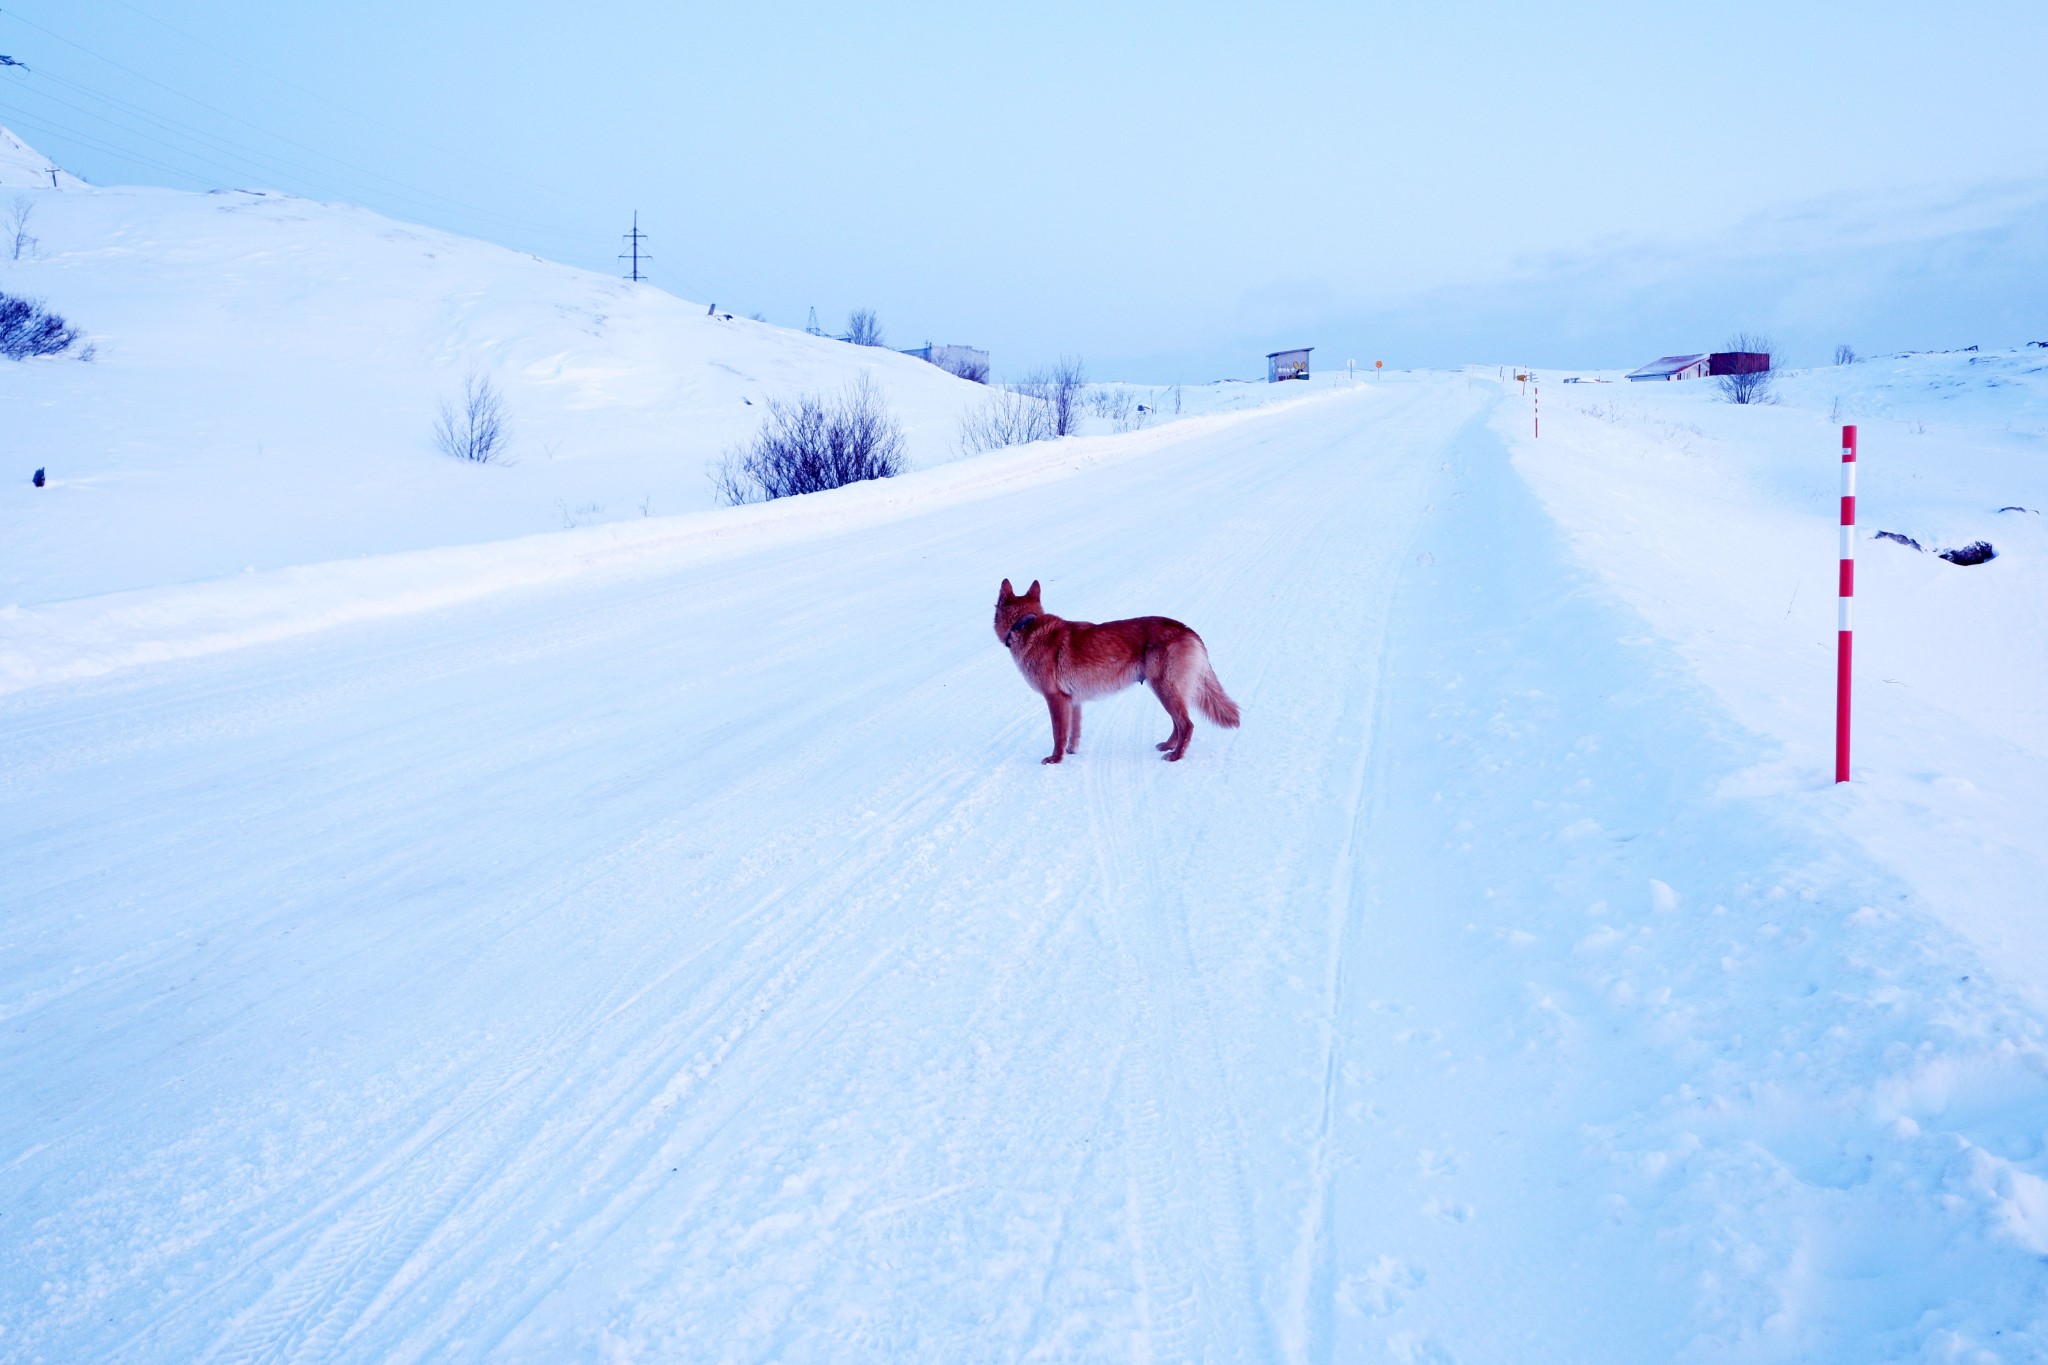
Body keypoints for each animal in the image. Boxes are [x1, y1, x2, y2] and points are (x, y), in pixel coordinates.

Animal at [987, 581, 1228, 765]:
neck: (1026, 625)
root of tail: (1188, 630)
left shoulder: (1055, 699)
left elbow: (1058, 734)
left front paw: (1055, 759)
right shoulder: (1073, 701)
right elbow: (1073, 733)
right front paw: (1071, 752)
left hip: (1164, 688)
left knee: (1186, 725)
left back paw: (1175, 755)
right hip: (1164, 689)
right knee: (1178, 723)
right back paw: (1168, 746)